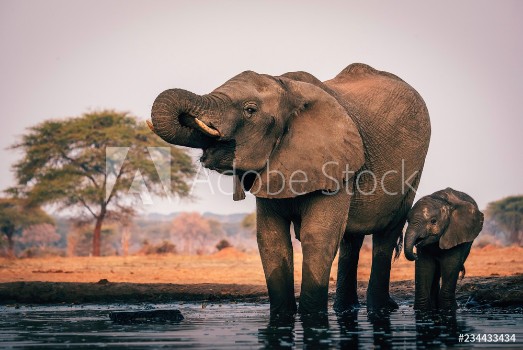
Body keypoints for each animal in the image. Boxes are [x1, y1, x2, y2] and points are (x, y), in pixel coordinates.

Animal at [147, 63, 430, 318]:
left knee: (386, 235)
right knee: (351, 240)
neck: (287, 88)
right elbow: (271, 239)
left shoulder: (333, 163)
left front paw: (311, 317)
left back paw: (378, 310)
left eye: (250, 110)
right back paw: (345, 310)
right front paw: (282, 316)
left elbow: (318, 236)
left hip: (412, 171)